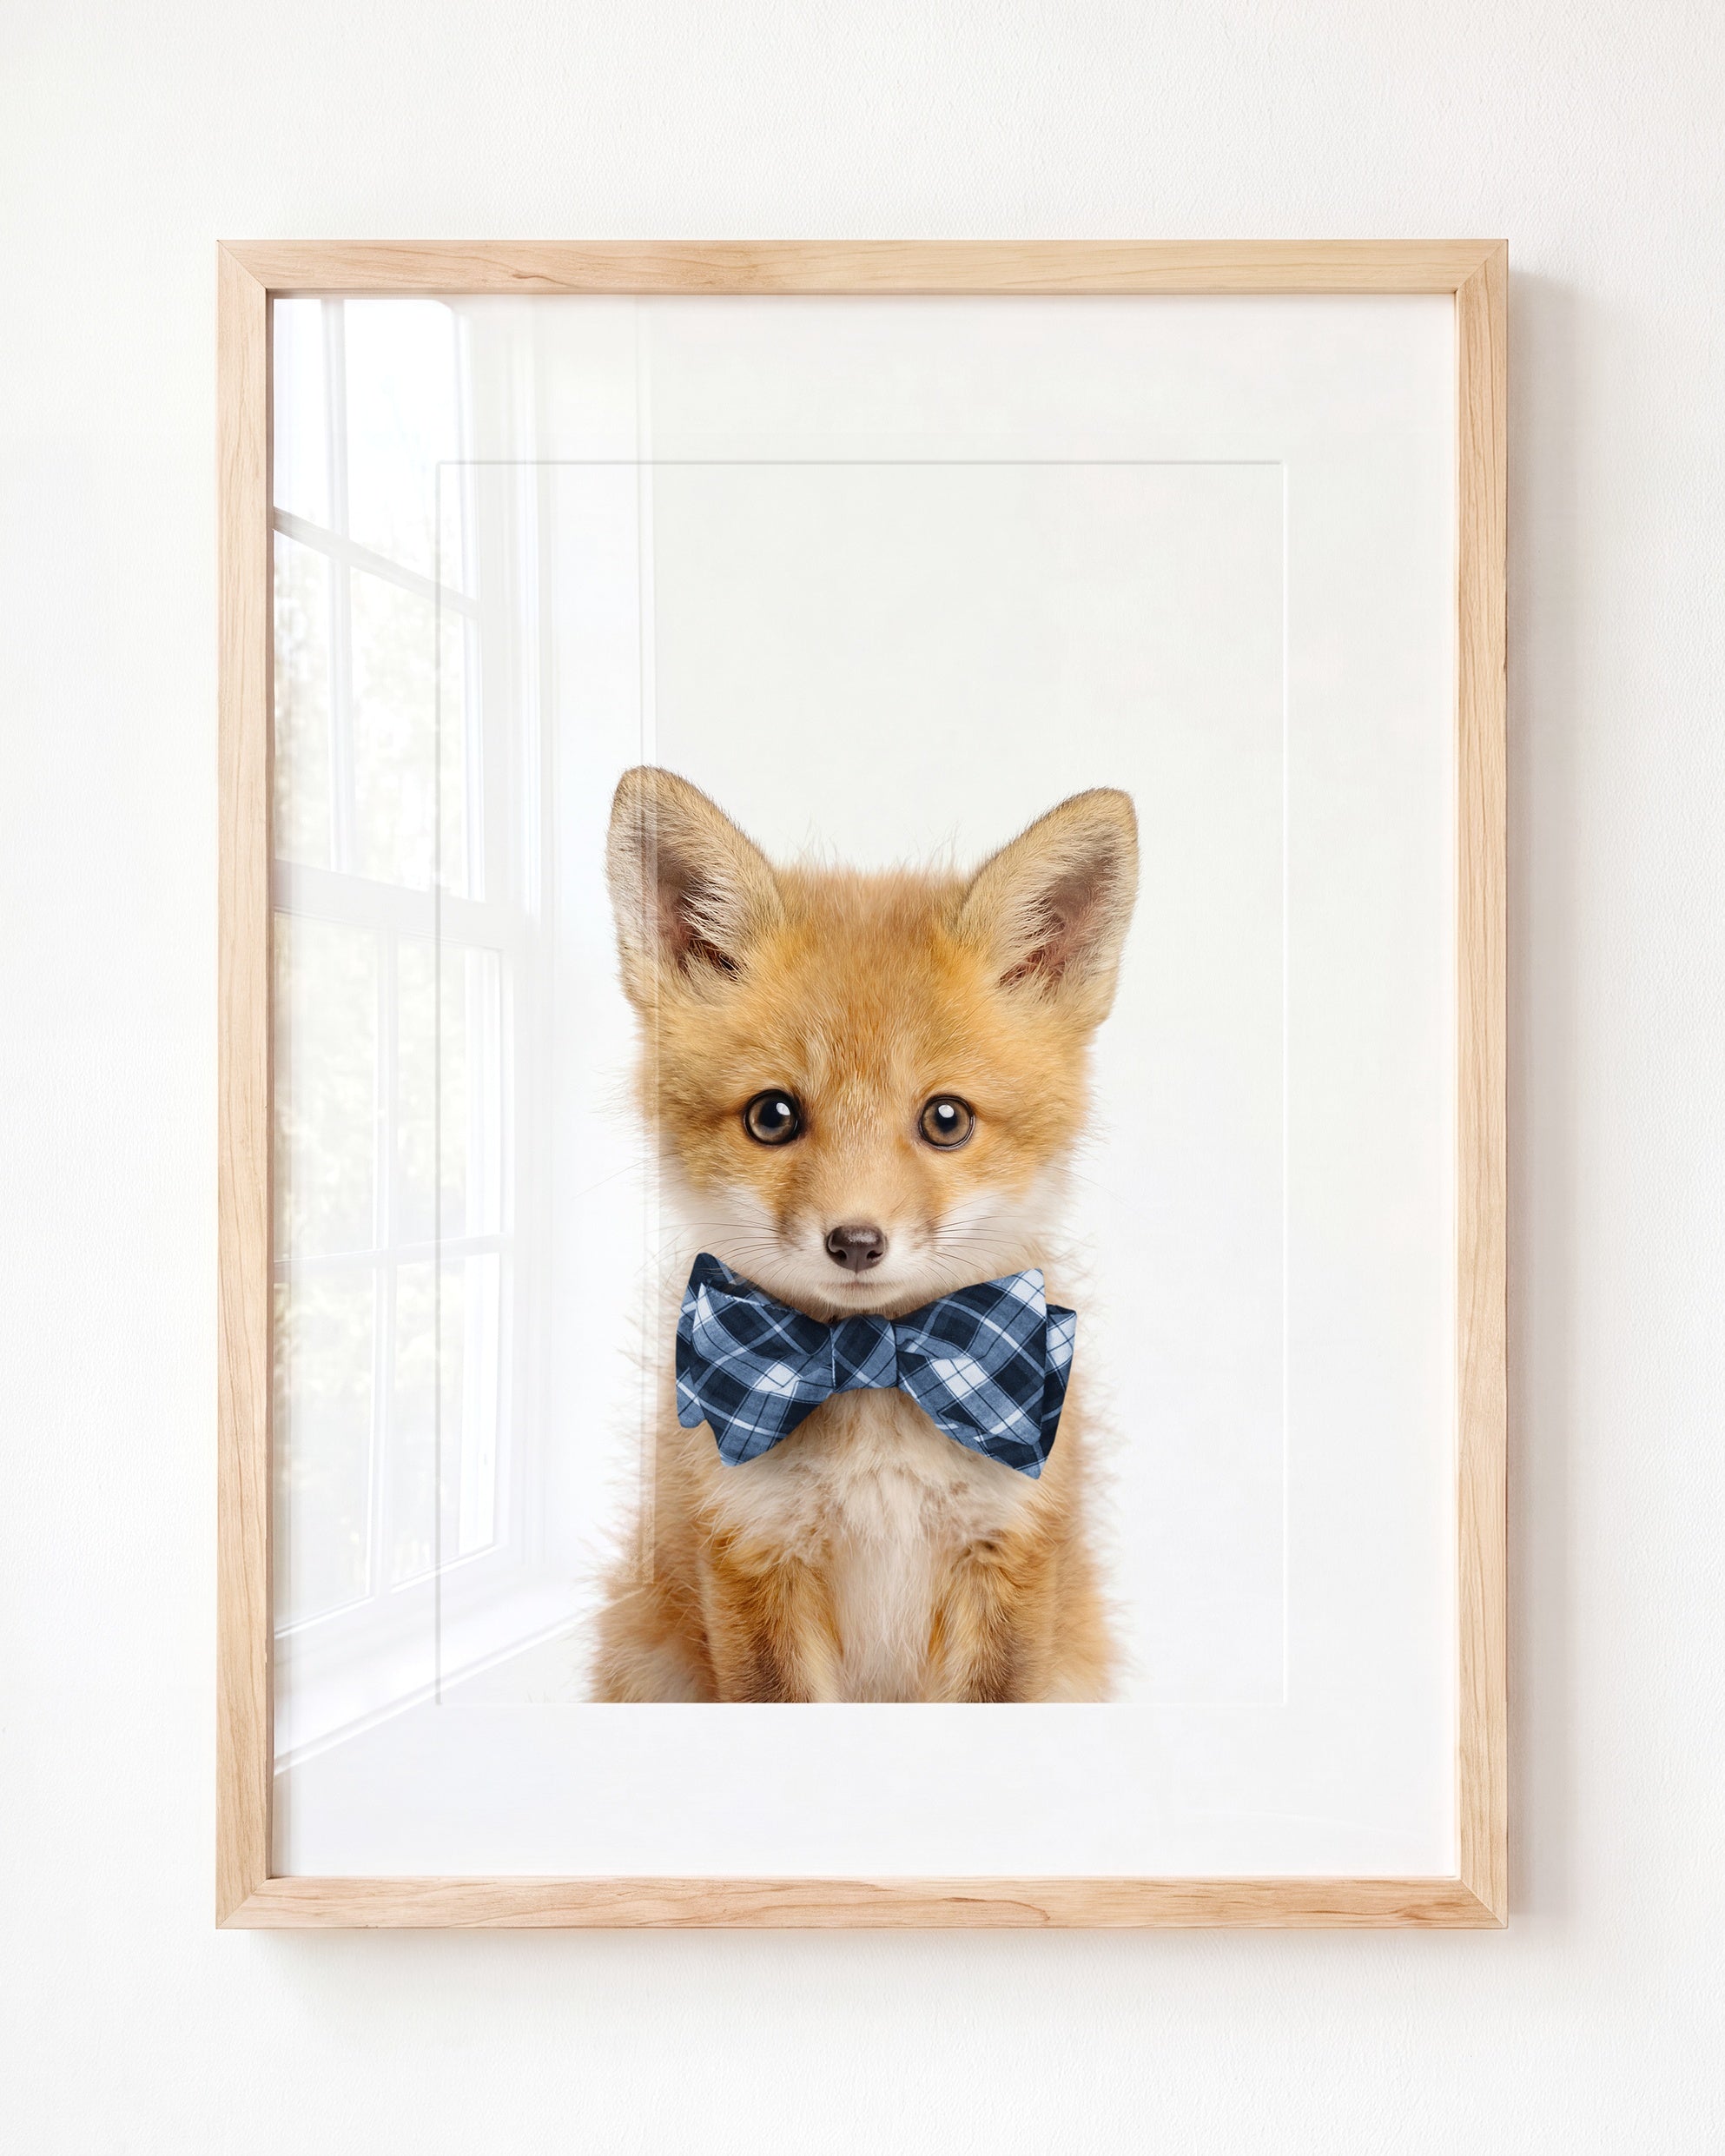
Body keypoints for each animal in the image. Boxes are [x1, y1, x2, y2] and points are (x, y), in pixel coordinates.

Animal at [590, 765, 1139, 1703]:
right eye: (772, 1116)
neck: (875, 1371)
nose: (855, 1242)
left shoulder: (1009, 1558)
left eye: (946, 1120)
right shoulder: (753, 1556)